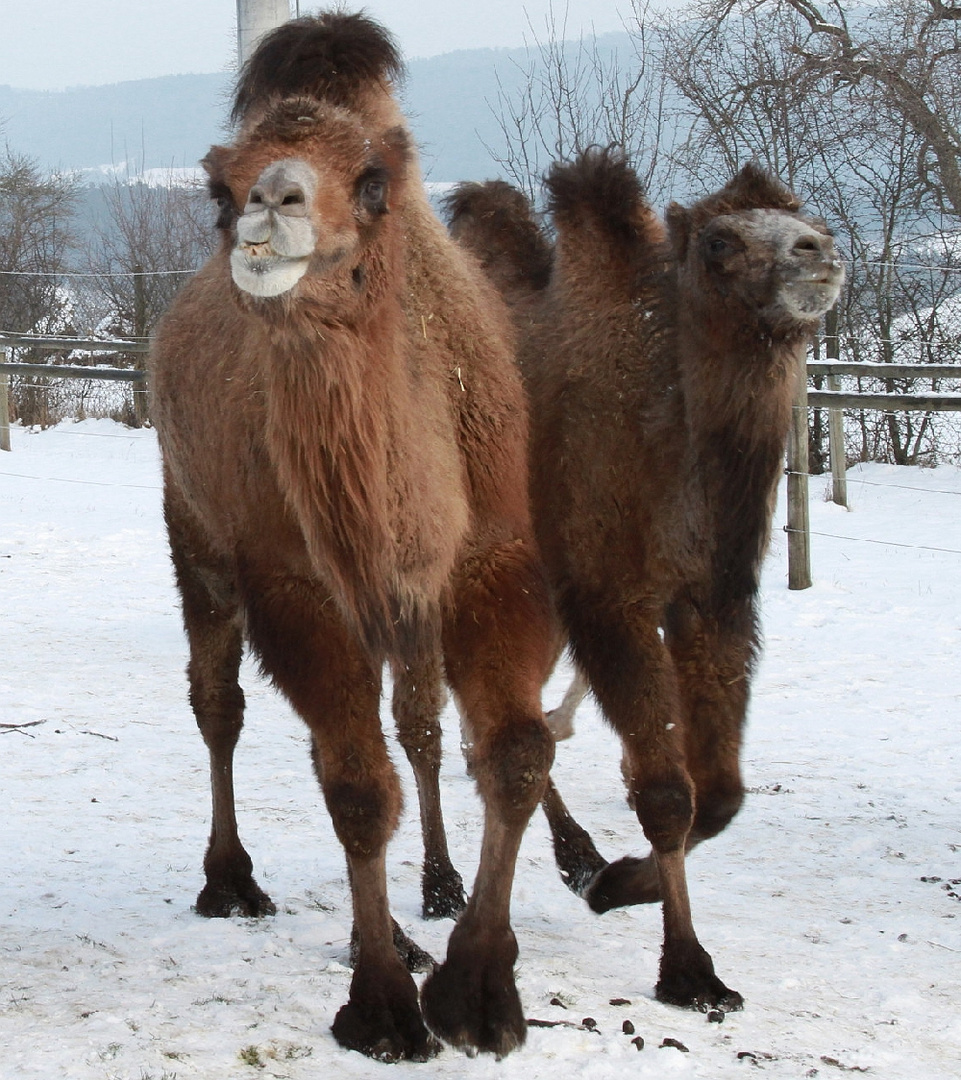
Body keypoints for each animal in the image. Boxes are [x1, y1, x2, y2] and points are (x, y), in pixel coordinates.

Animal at [150, 14, 552, 1062]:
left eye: (373, 181)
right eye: (218, 189)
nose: (268, 203)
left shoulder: (491, 563)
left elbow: (513, 754)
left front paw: (479, 987)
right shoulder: (297, 587)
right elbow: (356, 789)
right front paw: (382, 1008)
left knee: (417, 728)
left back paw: (430, 903)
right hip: (195, 536)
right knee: (218, 703)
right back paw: (232, 881)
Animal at [444, 150, 842, 1010]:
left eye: (809, 218)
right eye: (720, 242)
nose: (818, 254)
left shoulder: (711, 600)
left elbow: (717, 793)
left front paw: (619, 882)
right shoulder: (607, 596)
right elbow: (665, 791)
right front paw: (687, 966)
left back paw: (577, 858)